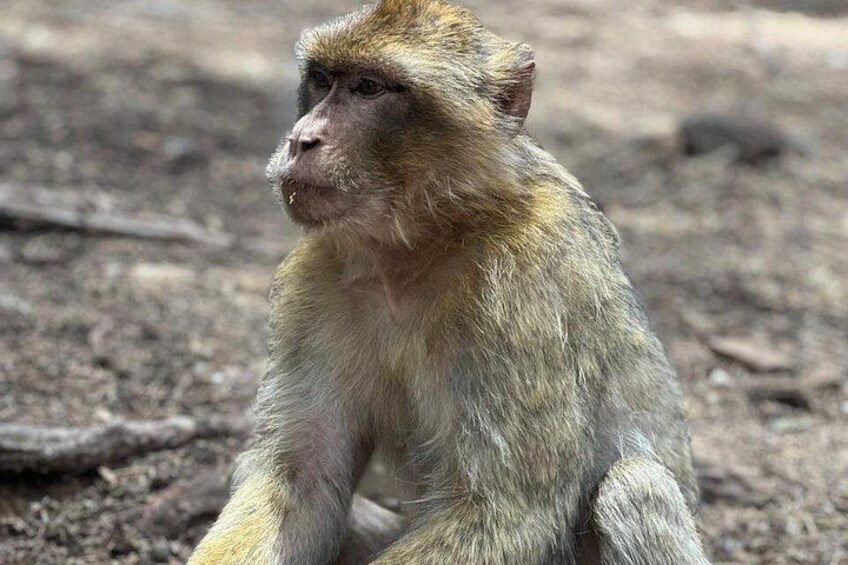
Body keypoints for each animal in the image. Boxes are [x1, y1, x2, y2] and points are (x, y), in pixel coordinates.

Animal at [188, 1, 710, 563]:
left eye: (368, 88)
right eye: (323, 80)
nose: (302, 139)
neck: (423, 243)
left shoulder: (524, 289)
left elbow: (505, 512)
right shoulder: (315, 280)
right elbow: (301, 477)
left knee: (634, 486)